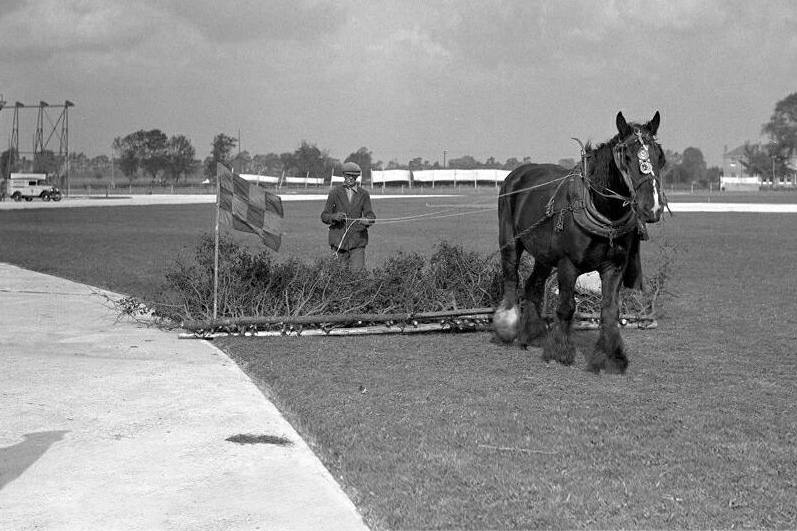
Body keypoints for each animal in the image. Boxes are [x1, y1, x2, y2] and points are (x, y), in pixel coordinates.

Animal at [494, 111, 664, 374]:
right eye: (626, 157)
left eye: (659, 156)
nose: (652, 208)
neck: (603, 209)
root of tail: (516, 174)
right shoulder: (568, 264)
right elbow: (566, 307)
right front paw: (560, 352)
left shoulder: (614, 267)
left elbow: (609, 310)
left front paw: (612, 357)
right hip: (510, 241)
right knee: (512, 278)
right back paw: (508, 327)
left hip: (544, 255)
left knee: (533, 285)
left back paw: (533, 334)